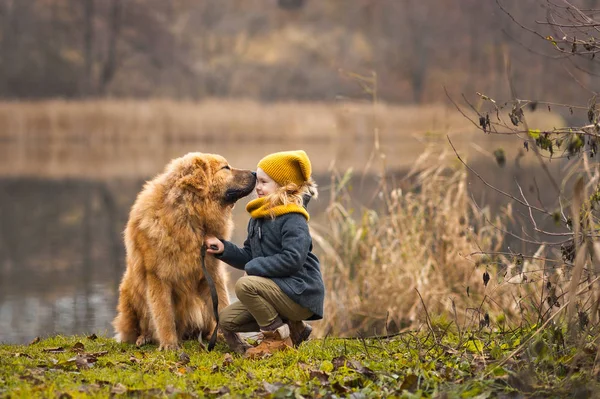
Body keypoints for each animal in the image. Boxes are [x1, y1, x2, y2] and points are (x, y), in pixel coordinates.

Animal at [112, 152, 255, 350]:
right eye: (225, 168)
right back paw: (144, 337)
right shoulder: (158, 277)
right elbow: (164, 315)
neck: (189, 215)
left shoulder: (212, 274)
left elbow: (222, 308)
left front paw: (237, 342)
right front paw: (169, 345)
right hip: (129, 291)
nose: (255, 173)